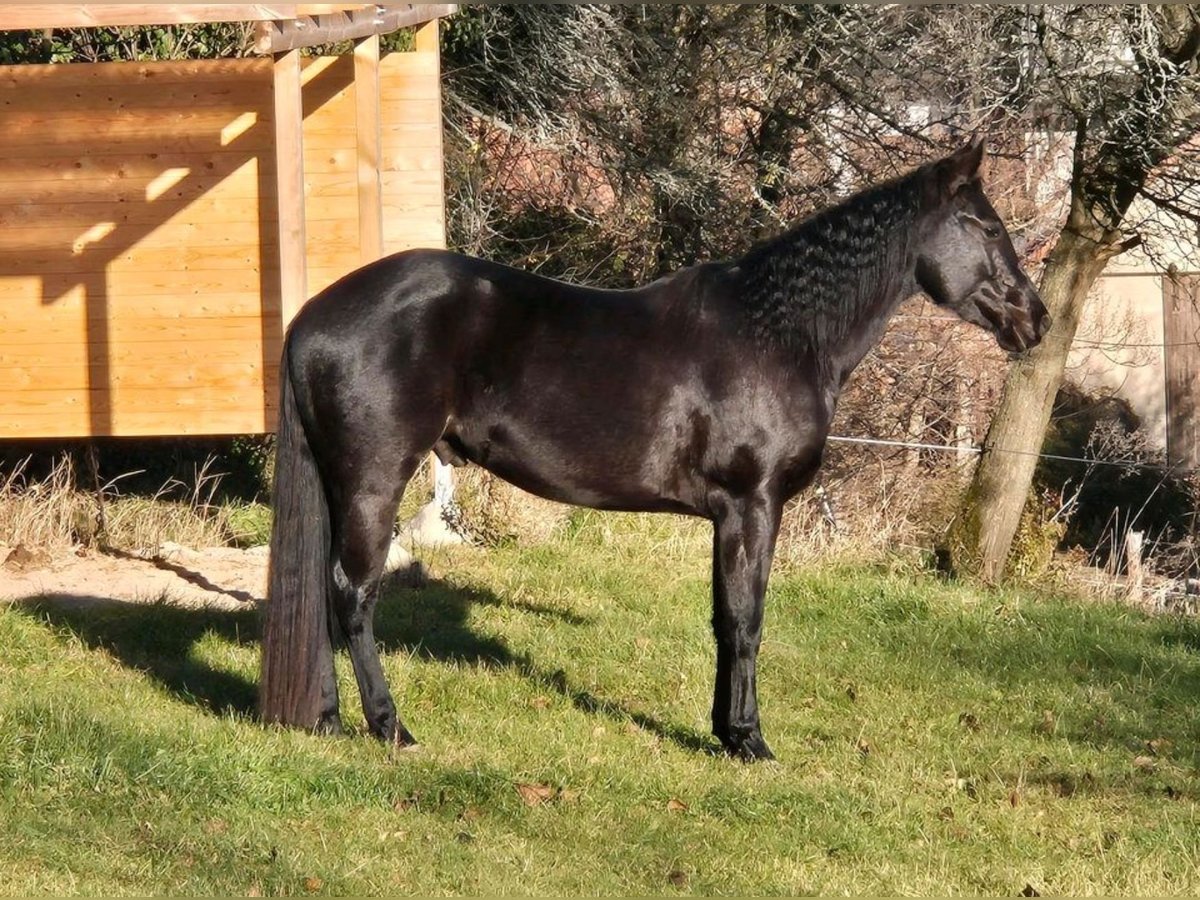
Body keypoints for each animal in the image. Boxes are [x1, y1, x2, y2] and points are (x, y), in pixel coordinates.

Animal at [259, 137, 1050, 761]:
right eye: (985, 224)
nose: (1035, 319)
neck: (780, 332)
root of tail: (313, 317)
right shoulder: (753, 506)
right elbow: (746, 620)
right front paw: (750, 741)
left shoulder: (728, 517)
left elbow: (723, 618)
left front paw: (724, 732)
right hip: (373, 480)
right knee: (354, 593)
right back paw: (390, 727)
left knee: (325, 594)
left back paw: (326, 719)